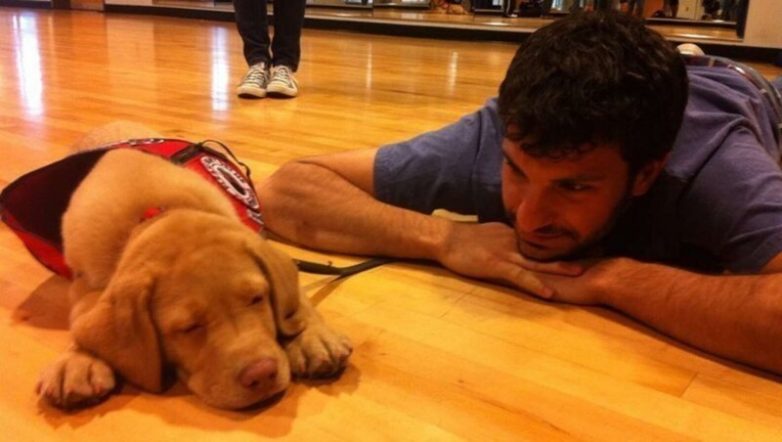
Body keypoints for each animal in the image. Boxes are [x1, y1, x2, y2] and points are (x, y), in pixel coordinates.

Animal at [35, 122, 352, 410]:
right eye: (189, 328)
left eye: (257, 298)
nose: (261, 375)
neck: (156, 211)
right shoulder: (84, 282)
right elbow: (83, 320)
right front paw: (76, 361)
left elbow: (295, 295)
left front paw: (313, 336)